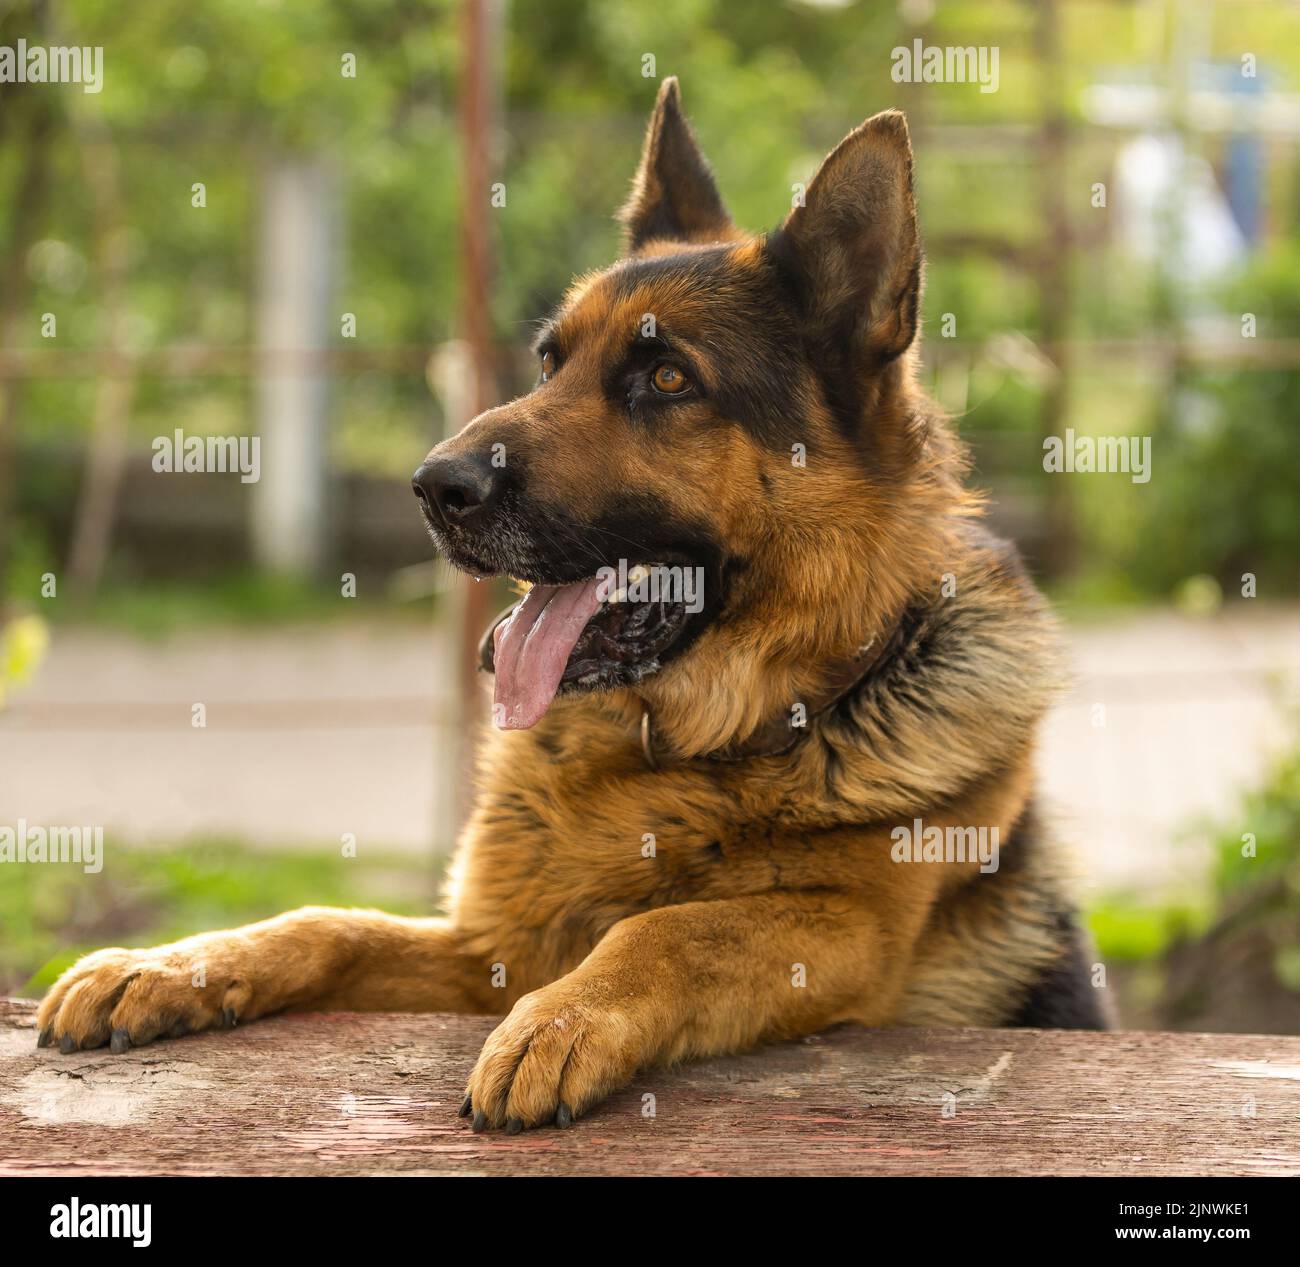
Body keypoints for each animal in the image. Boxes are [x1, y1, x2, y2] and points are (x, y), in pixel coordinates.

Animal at [35, 84, 1102, 1138]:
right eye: (549, 363)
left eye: (667, 378)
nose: (431, 487)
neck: (688, 747)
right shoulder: (489, 946)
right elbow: (331, 923)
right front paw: (172, 962)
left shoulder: (852, 930)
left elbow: (670, 925)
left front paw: (565, 1019)